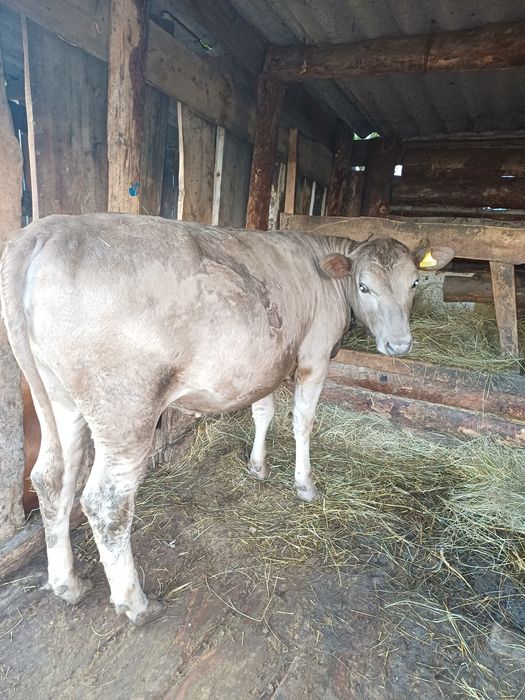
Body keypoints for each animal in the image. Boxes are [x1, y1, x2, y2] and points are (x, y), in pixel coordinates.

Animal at [0, 213, 454, 624]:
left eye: (413, 283)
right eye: (364, 286)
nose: (399, 345)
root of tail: (47, 228)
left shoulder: (267, 359)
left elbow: (262, 410)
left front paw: (258, 467)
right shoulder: (314, 356)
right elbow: (302, 421)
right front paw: (305, 486)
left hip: (59, 397)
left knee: (51, 477)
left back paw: (68, 584)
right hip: (125, 411)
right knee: (106, 503)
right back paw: (136, 604)